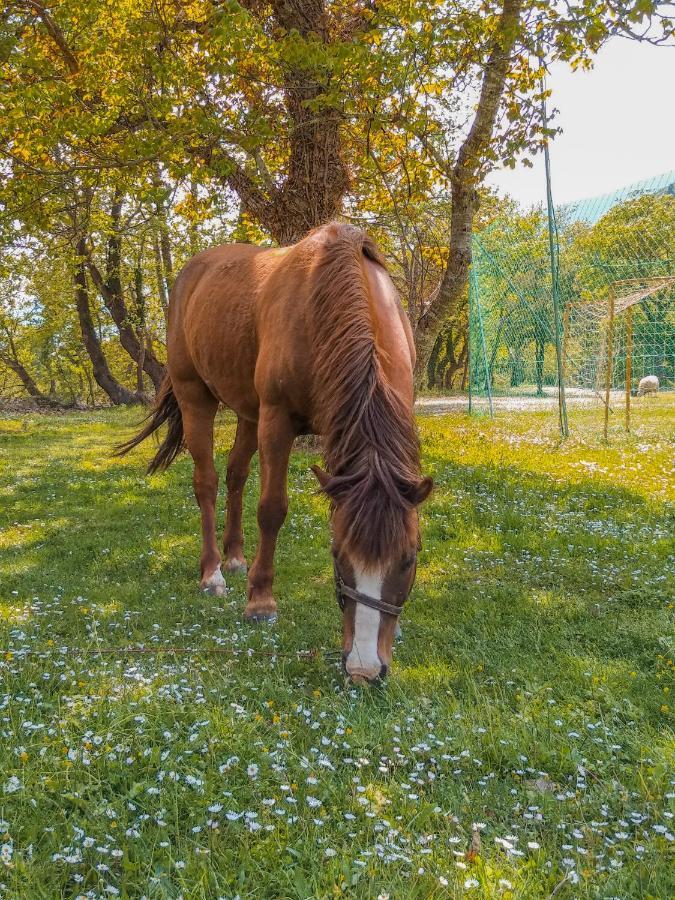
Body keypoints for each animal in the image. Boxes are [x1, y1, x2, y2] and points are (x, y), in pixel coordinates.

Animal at [118, 223, 430, 684]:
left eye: (408, 560)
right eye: (338, 557)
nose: (364, 668)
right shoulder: (277, 421)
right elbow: (272, 509)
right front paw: (260, 599)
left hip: (248, 412)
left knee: (235, 474)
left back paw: (234, 557)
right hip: (197, 398)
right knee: (207, 482)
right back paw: (213, 572)